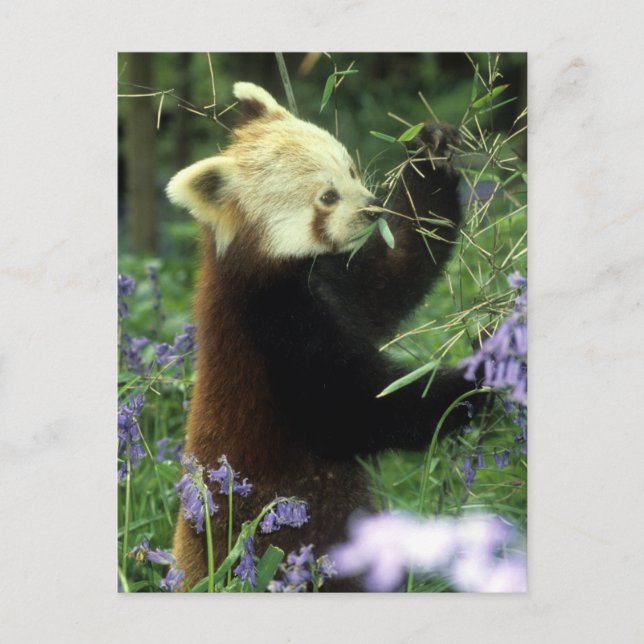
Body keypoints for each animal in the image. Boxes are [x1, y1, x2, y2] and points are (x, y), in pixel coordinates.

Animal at [166, 82, 479, 590]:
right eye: (327, 197)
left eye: (351, 169)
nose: (372, 208)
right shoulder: (272, 323)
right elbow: (349, 409)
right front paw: (476, 381)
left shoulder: (344, 281)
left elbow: (401, 265)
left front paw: (431, 154)